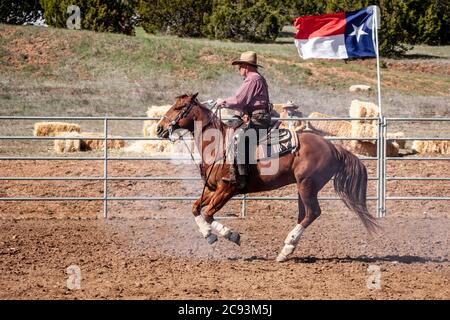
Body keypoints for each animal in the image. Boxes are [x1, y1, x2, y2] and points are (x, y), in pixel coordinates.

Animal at [156, 92, 378, 262]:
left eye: (179, 107)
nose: (159, 128)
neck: (218, 144)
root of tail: (333, 146)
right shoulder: (213, 189)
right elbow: (195, 208)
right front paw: (208, 235)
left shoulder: (227, 189)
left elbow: (209, 213)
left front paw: (232, 235)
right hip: (303, 187)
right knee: (304, 214)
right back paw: (286, 250)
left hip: (307, 185)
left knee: (312, 213)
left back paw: (286, 248)